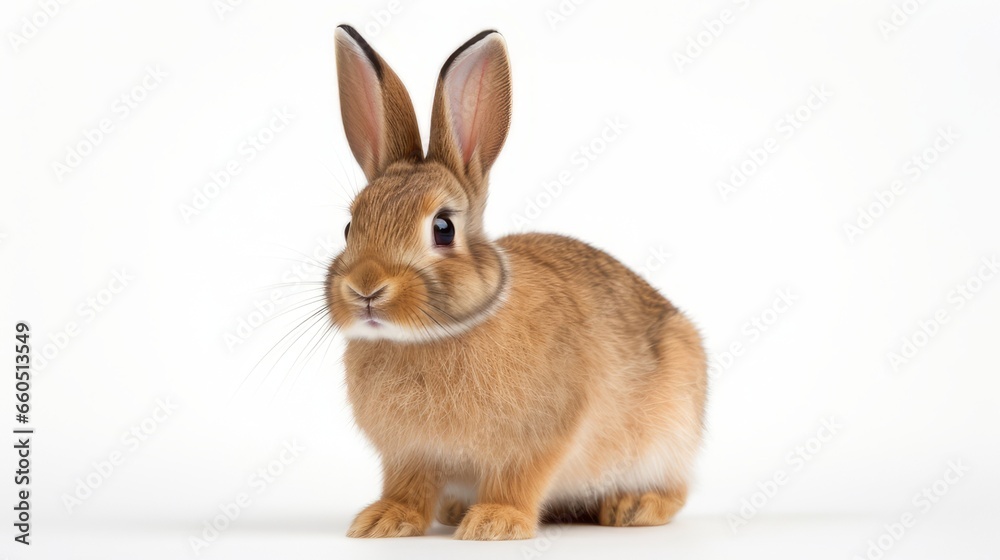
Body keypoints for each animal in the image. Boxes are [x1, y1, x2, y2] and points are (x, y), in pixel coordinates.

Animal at [324, 24, 708, 540]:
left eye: (443, 228)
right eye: (350, 227)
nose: (365, 287)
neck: (430, 337)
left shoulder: (538, 439)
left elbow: (517, 480)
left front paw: (495, 523)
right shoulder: (409, 454)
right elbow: (408, 486)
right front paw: (383, 521)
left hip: (670, 432)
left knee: (674, 489)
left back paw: (633, 507)